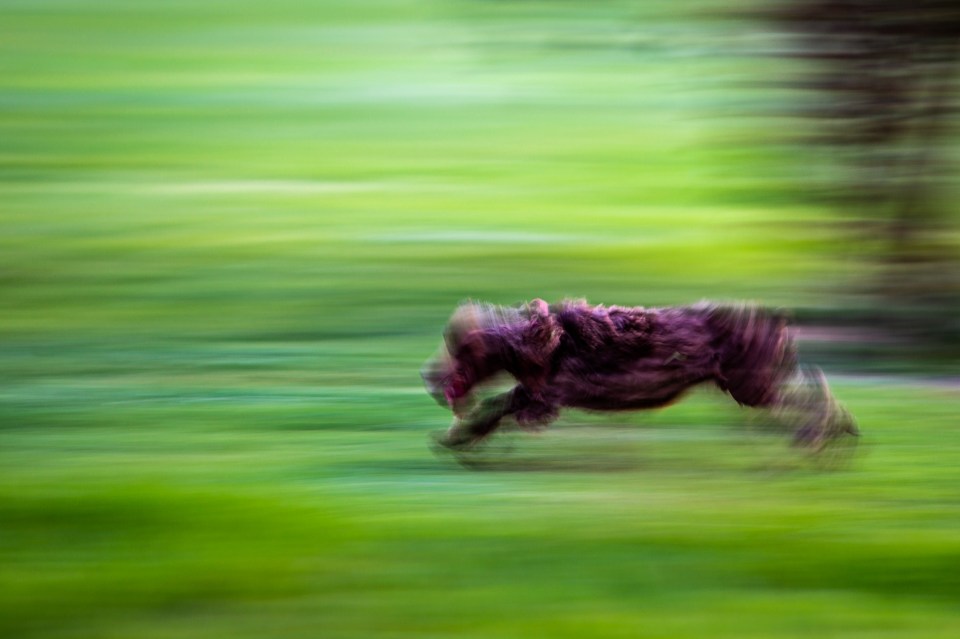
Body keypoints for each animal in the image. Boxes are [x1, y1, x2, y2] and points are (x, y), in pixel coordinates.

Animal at [422, 298, 857, 451]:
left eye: (455, 347)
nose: (426, 375)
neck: (526, 341)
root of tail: (775, 320)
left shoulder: (545, 395)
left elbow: (497, 406)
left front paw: (460, 436)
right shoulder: (537, 393)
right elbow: (497, 408)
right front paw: (461, 437)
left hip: (751, 385)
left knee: (812, 391)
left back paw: (820, 434)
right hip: (751, 384)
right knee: (808, 388)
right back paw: (833, 431)